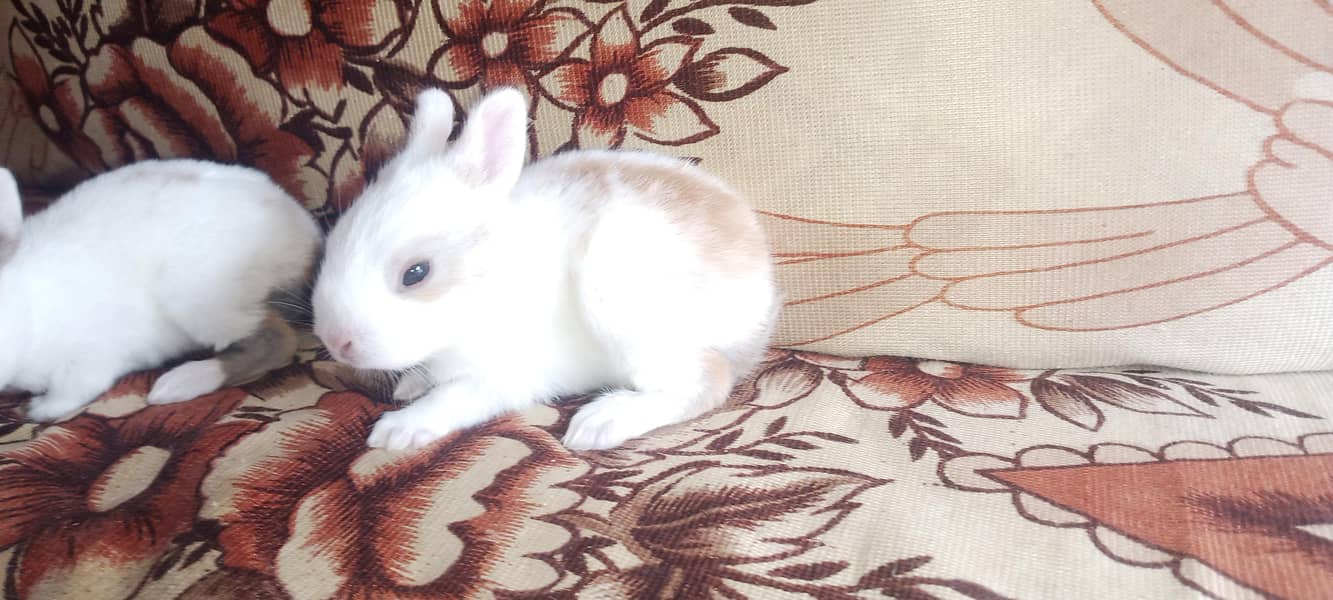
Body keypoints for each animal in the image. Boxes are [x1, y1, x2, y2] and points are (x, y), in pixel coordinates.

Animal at [0, 159, 322, 422]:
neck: (31, 313)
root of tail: (307, 234)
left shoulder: (86, 360)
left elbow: (70, 393)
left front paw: (34, 410)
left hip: (203, 303)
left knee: (277, 340)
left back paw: (179, 383)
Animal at [311, 87, 778, 451]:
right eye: (332, 243)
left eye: (416, 272)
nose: (337, 343)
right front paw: (410, 385)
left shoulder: (503, 374)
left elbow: (454, 397)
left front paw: (398, 430)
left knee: (704, 382)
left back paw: (600, 422)